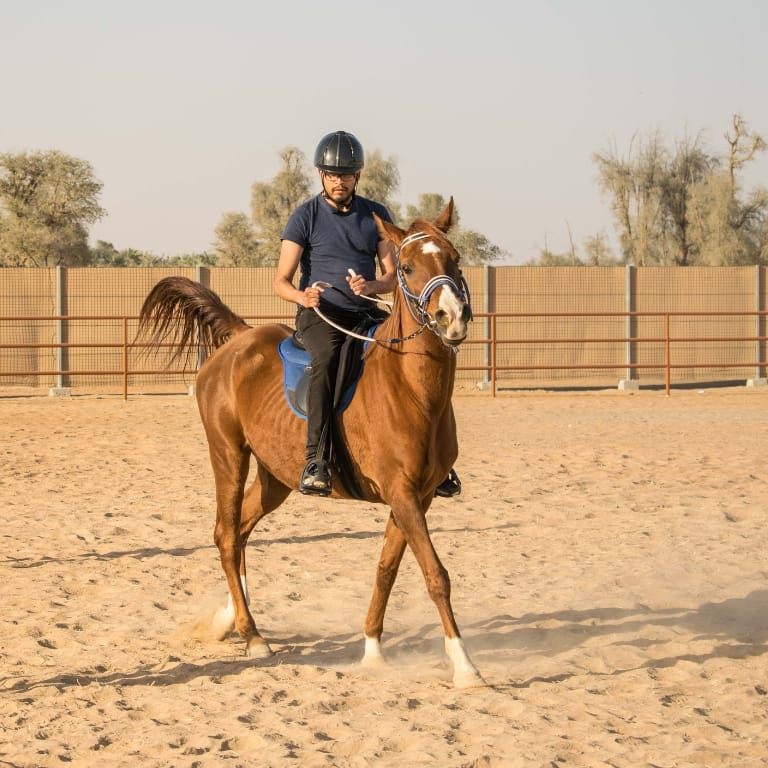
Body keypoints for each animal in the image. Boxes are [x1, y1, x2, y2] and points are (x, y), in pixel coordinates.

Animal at [137, 198, 484, 688]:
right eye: (408, 267)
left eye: (454, 259)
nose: (452, 317)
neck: (411, 389)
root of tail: (240, 339)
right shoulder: (402, 493)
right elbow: (436, 574)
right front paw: (465, 665)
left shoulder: (418, 497)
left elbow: (386, 569)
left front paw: (372, 649)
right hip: (228, 455)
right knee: (226, 535)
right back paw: (252, 635)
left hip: (275, 478)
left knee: (240, 531)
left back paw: (231, 618)